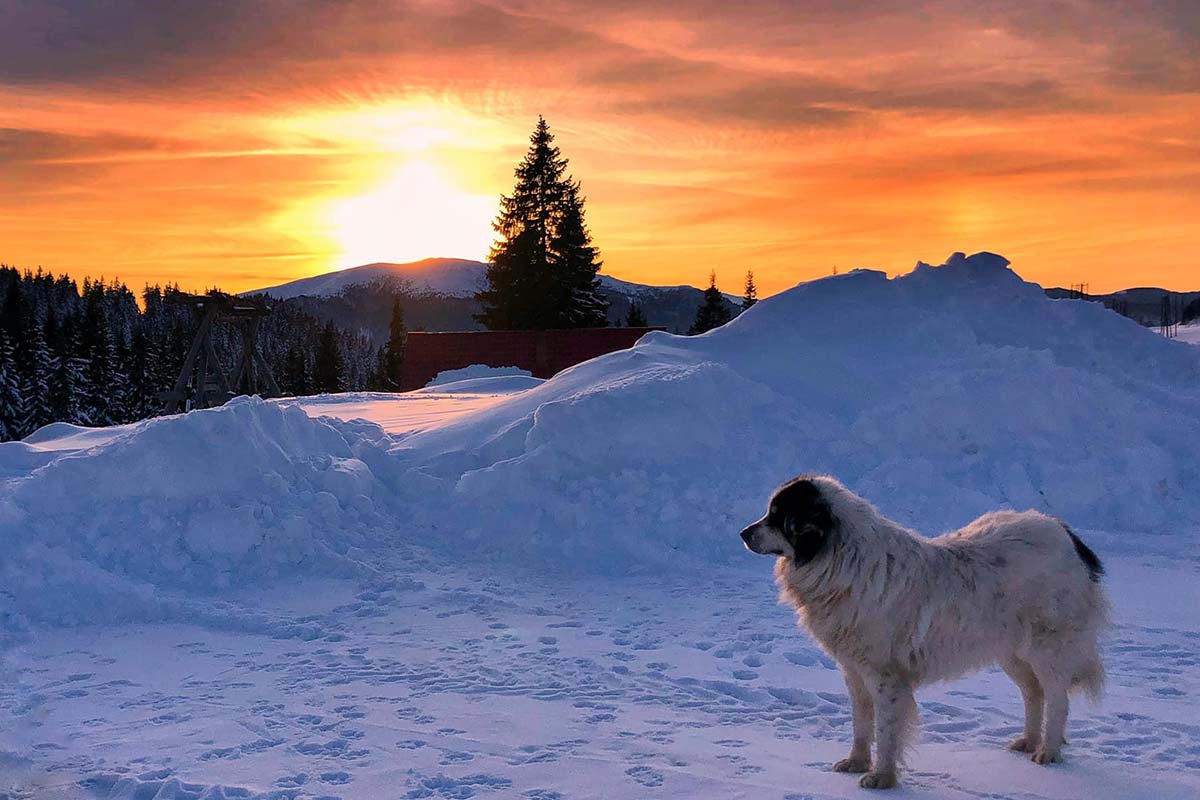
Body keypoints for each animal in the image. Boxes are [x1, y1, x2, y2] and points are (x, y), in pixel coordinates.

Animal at [739, 474, 1104, 786]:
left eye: (777, 517)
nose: (743, 533)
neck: (839, 559)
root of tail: (1065, 533)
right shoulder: (854, 672)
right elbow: (861, 723)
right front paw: (856, 762)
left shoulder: (885, 677)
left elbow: (886, 731)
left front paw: (881, 778)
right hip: (1011, 652)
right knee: (1034, 693)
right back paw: (1028, 741)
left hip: (1046, 649)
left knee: (1057, 699)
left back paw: (1048, 751)